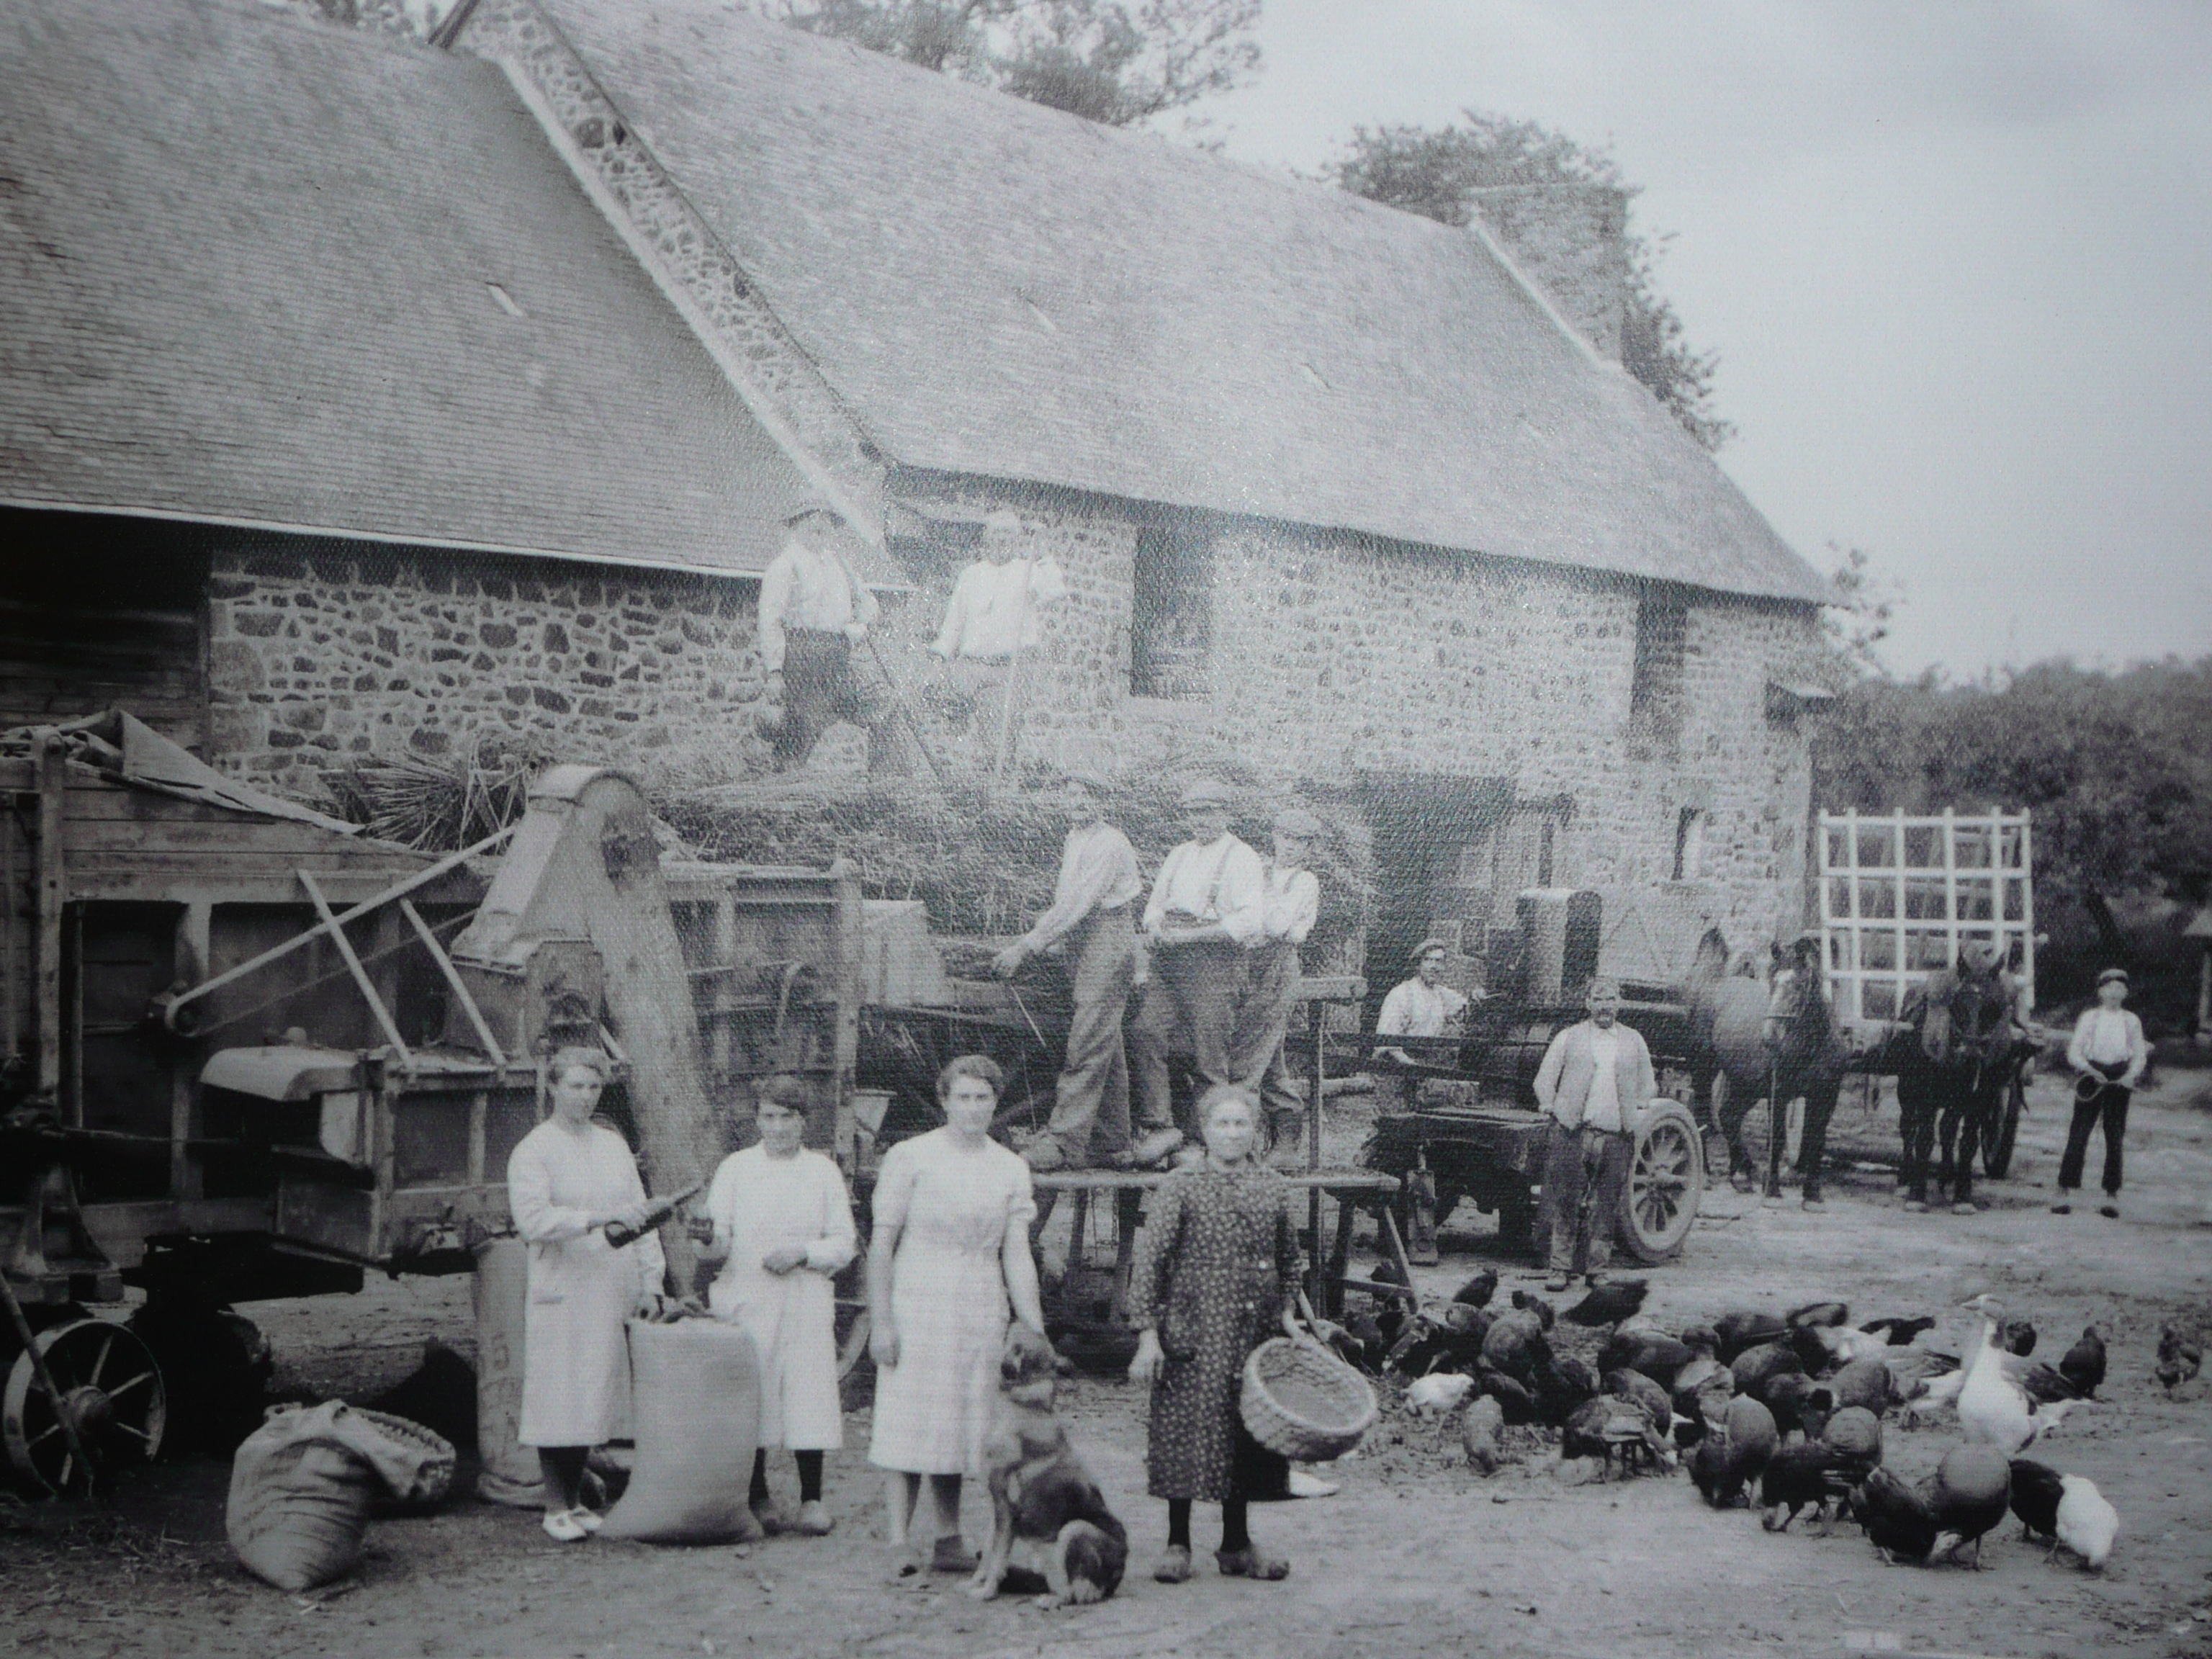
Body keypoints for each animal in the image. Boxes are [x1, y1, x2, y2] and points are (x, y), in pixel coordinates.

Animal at [964, 1327, 1123, 1610]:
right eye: (1013, 1344)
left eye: (1020, 1350)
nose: (1014, 1320)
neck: (1023, 1403)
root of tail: (1119, 1575)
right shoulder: (998, 1507)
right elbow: (987, 1555)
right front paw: (976, 1583)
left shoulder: (1007, 1512)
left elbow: (996, 1560)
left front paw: (987, 1592)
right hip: (1046, 1555)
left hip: (1073, 1529)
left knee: (1074, 1595)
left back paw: (1049, 1601)